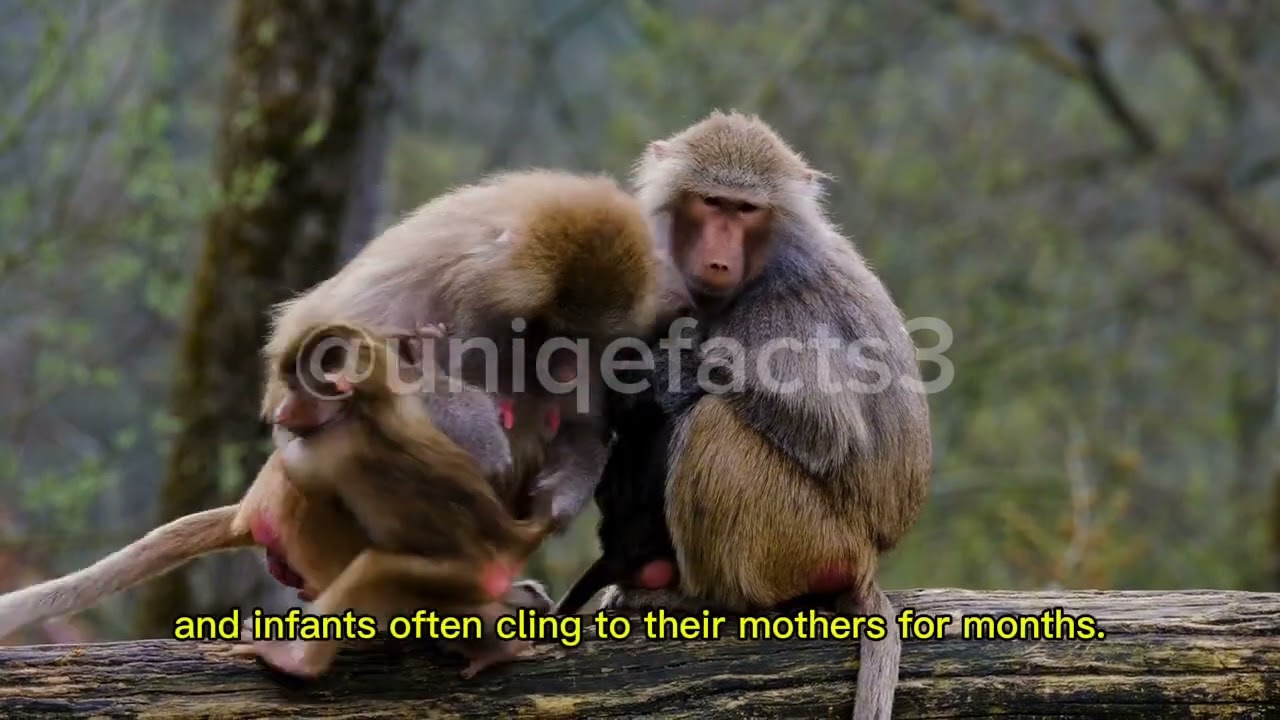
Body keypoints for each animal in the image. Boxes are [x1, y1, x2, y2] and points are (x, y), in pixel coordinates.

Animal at [591, 111, 933, 720]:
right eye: (711, 202)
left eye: (745, 210)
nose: (717, 258)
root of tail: (868, 558)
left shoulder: (781, 313)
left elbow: (825, 429)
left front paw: (672, 373)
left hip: (810, 540)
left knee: (716, 424)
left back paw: (699, 598)